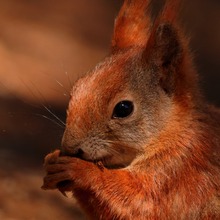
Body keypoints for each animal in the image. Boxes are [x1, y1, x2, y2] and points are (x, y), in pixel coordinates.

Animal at [41, 0, 220, 218]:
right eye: (76, 88)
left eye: (124, 108)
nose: (69, 148)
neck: (175, 134)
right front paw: (52, 162)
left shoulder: (177, 174)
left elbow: (141, 202)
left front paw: (81, 170)